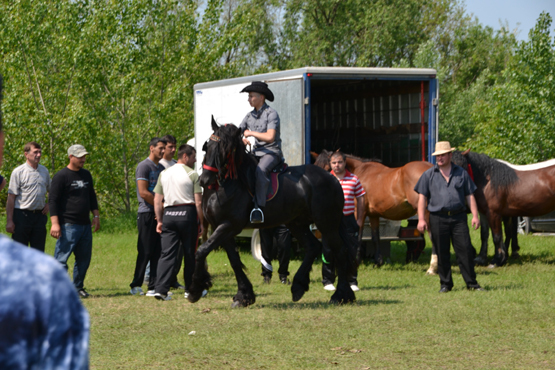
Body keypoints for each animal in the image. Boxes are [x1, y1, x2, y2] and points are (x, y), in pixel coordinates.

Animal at [187, 118, 358, 306]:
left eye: (227, 151)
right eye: (208, 146)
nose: (205, 179)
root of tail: (333, 178)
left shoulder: (229, 225)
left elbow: (202, 250)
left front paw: (195, 290)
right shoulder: (222, 228)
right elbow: (234, 261)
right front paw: (244, 295)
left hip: (327, 223)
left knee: (340, 251)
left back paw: (341, 295)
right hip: (297, 223)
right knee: (313, 247)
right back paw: (299, 286)